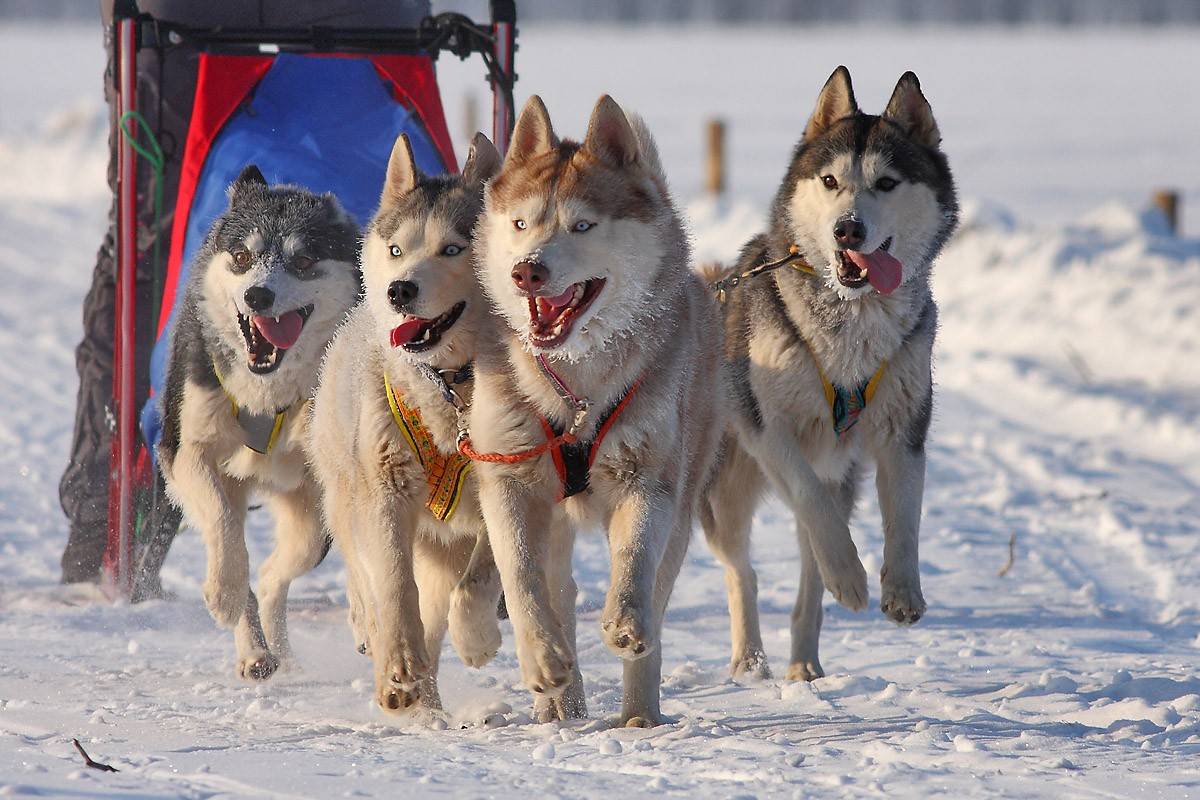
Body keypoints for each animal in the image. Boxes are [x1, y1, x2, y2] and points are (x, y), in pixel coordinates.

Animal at [157, 165, 357, 681]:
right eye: (243, 256)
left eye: (303, 259)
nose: (258, 294)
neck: (269, 395)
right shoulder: (187, 454)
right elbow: (224, 526)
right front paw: (224, 593)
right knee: (244, 557)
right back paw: (255, 650)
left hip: (309, 521)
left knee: (273, 574)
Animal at [309, 133, 506, 714]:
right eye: (397, 249)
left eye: (453, 249)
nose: (399, 290)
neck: (451, 386)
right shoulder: (385, 491)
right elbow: (395, 588)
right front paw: (396, 665)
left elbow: (478, 580)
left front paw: (477, 637)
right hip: (348, 492)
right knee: (366, 574)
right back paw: (382, 651)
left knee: (440, 601)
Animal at [468, 94, 720, 724]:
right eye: (521, 223)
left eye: (583, 225)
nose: (527, 269)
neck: (575, 385)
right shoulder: (507, 479)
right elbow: (522, 577)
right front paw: (542, 661)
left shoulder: (647, 479)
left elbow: (634, 560)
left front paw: (624, 620)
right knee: (557, 589)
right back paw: (563, 698)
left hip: (683, 499)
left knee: (656, 592)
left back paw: (638, 712)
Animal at [700, 67, 960, 681]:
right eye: (829, 180)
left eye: (886, 183)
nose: (848, 230)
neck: (851, 319)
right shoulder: (770, 430)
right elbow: (808, 497)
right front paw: (850, 572)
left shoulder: (903, 429)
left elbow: (905, 516)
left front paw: (902, 589)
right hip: (725, 490)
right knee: (746, 568)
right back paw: (751, 658)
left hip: (839, 474)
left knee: (809, 576)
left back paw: (804, 662)